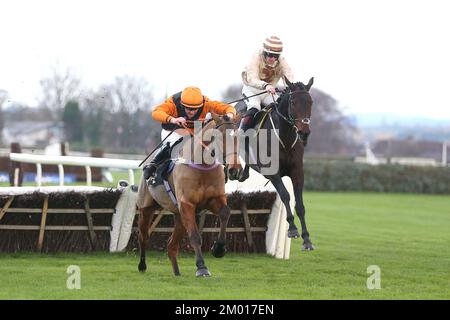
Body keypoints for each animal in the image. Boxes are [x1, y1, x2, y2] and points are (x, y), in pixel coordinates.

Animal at [136, 114, 243, 276]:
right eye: (220, 137)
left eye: (240, 137)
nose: (235, 170)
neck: (202, 165)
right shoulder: (187, 204)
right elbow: (195, 237)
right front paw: (201, 267)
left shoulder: (214, 199)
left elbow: (225, 212)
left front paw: (218, 248)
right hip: (146, 207)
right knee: (144, 236)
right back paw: (142, 265)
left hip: (179, 216)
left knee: (171, 246)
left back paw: (177, 273)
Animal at [237, 77, 314, 250]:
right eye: (293, 102)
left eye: (311, 102)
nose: (304, 133)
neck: (284, 138)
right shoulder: (273, 173)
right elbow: (285, 195)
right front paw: (292, 229)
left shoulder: (297, 171)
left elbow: (300, 204)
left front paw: (307, 239)